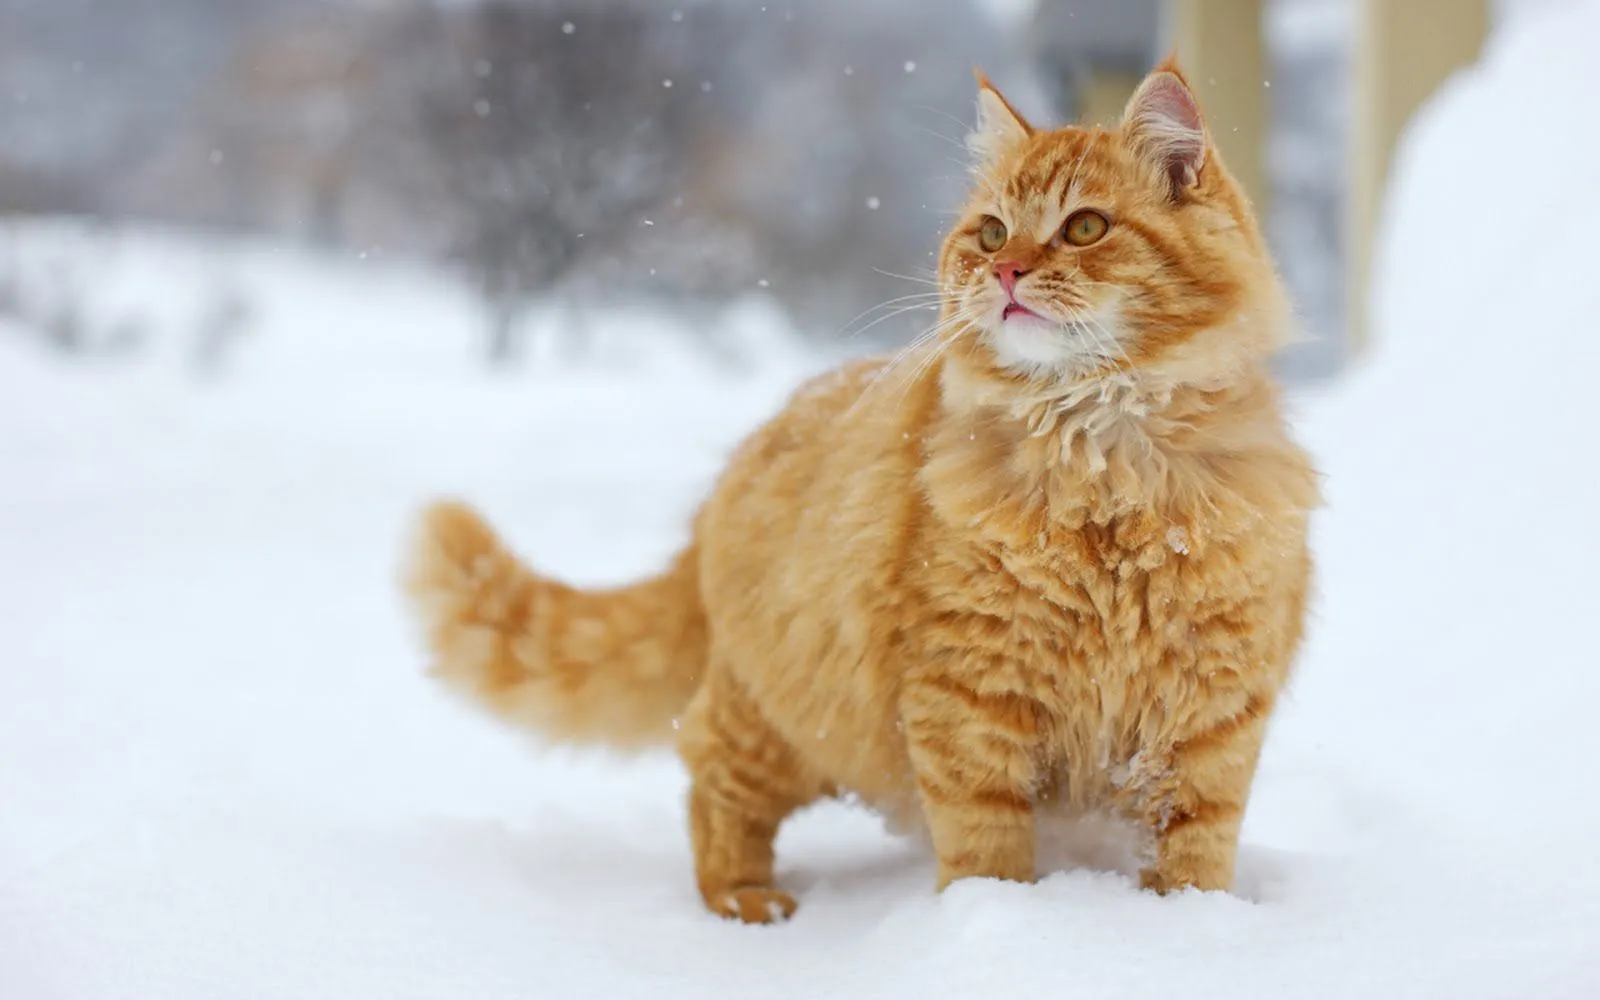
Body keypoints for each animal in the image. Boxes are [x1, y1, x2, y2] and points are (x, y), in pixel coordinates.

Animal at [406, 60, 1318, 921]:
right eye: (990, 232)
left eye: (1085, 227)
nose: (1007, 270)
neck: (1103, 461)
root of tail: (736, 467)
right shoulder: (971, 694)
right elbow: (986, 844)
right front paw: (1002, 923)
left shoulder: (1210, 710)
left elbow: (1195, 845)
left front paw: (1188, 926)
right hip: (785, 725)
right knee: (710, 779)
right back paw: (743, 900)